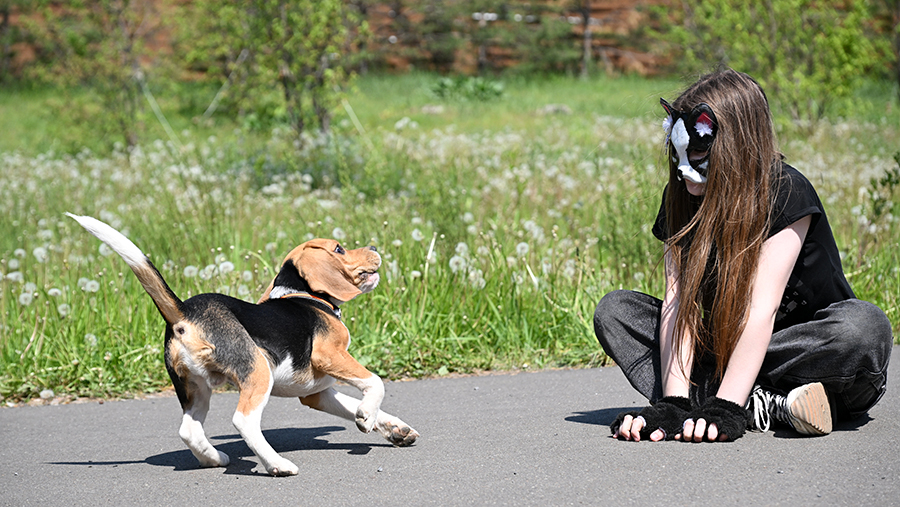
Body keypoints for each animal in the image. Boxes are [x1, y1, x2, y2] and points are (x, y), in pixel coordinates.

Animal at [68, 213, 418, 476]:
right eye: (340, 249)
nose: (374, 245)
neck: (303, 294)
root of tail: (184, 312)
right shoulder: (330, 355)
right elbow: (375, 383)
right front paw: (367, 416)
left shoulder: (316, 393)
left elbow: (355, 403)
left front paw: (394, 428)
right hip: (258, 370)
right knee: (244, 421)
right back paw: (277, 464)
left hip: (194, 387)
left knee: (188, 429)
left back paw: (214, 458)